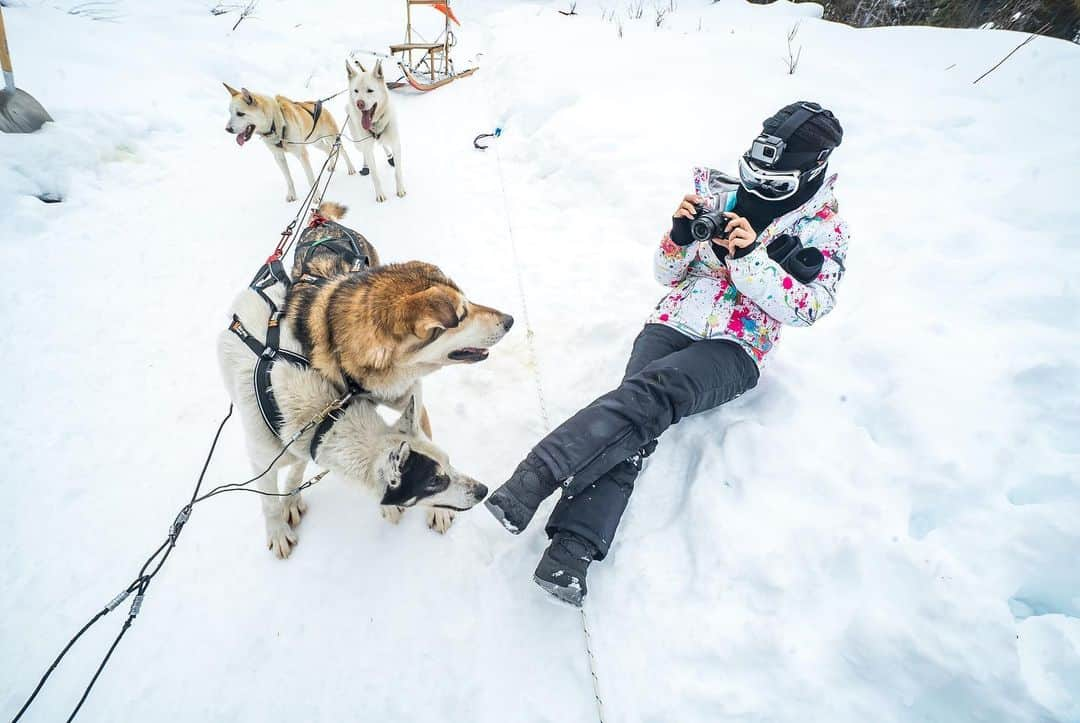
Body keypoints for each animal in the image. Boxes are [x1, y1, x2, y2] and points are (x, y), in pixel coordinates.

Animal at [217, 204, 511, 557]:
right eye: (462, 314)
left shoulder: (410, 398)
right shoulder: (265, 457)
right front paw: (278, 528)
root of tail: (321, 220)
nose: (510, 320)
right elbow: (269, 500)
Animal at [223, 83, 358, 204]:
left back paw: (351, 168)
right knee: (328, 149)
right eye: (230, 112)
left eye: (240, 113)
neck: (275, 123)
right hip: (315, 142)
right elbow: (288, 179)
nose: (227, 129)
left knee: (342, 150)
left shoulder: (302, 155)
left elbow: (311, 179)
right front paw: (292, 195)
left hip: (331, 137)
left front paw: (315, 197)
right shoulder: (279, 157)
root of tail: (319, 104)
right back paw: (331, 164)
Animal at [343, 59, 406, 203]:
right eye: (356, 91)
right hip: (358, 143)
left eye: (370, 90)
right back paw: (366, 166)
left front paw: (400, 189)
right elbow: (375, 176)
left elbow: (398, 172)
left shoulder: (396, 144)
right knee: (365, 153)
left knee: (383, 144)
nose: (359, 103)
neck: (375, 123)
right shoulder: (367, 146)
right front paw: (380, 194)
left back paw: (389, 157)